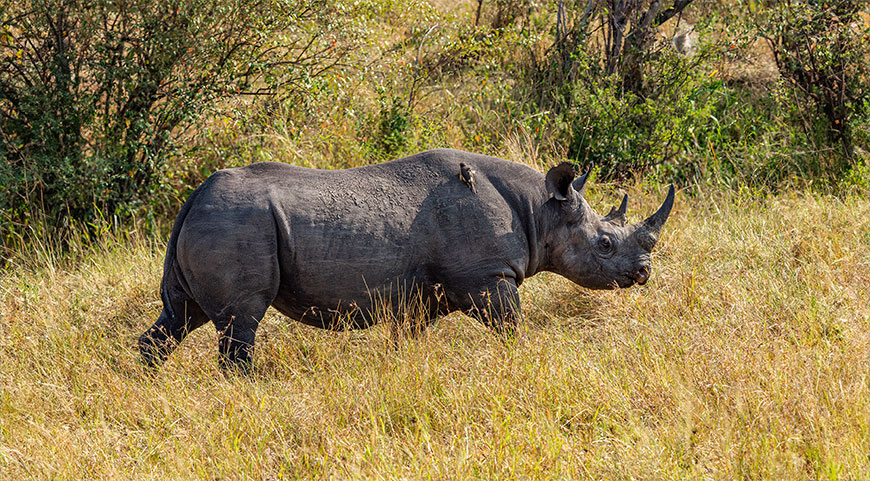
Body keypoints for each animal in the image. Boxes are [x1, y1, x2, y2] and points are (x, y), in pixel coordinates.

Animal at [139, 148, 674, 369]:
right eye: (604, 244)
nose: (644, 274)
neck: (540, 209)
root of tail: (193, 197)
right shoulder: (488, 278)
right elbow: (511, 328)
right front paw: (518, 362)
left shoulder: (420, 295)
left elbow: (408, 339)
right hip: (236, 224)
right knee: (239, 323)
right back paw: (248, 390)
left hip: (215, 221)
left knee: (179, 316)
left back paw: (149, 380)